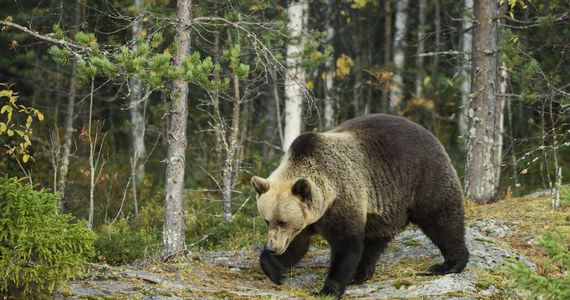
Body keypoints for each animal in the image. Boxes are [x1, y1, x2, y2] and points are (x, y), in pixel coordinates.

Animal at [251, 114, 468, 298]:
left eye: (282, 221)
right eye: (267, 220)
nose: (272, 247)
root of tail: (428, 133)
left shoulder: (342, 200)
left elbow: (346, 244)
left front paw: (326, 290)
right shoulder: (307, 219)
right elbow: (297, 245)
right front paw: (276, 272)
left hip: (423, 178)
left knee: (442, 219)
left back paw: (449, 264)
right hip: (383, 210)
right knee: (375, 240)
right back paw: (360, 273)